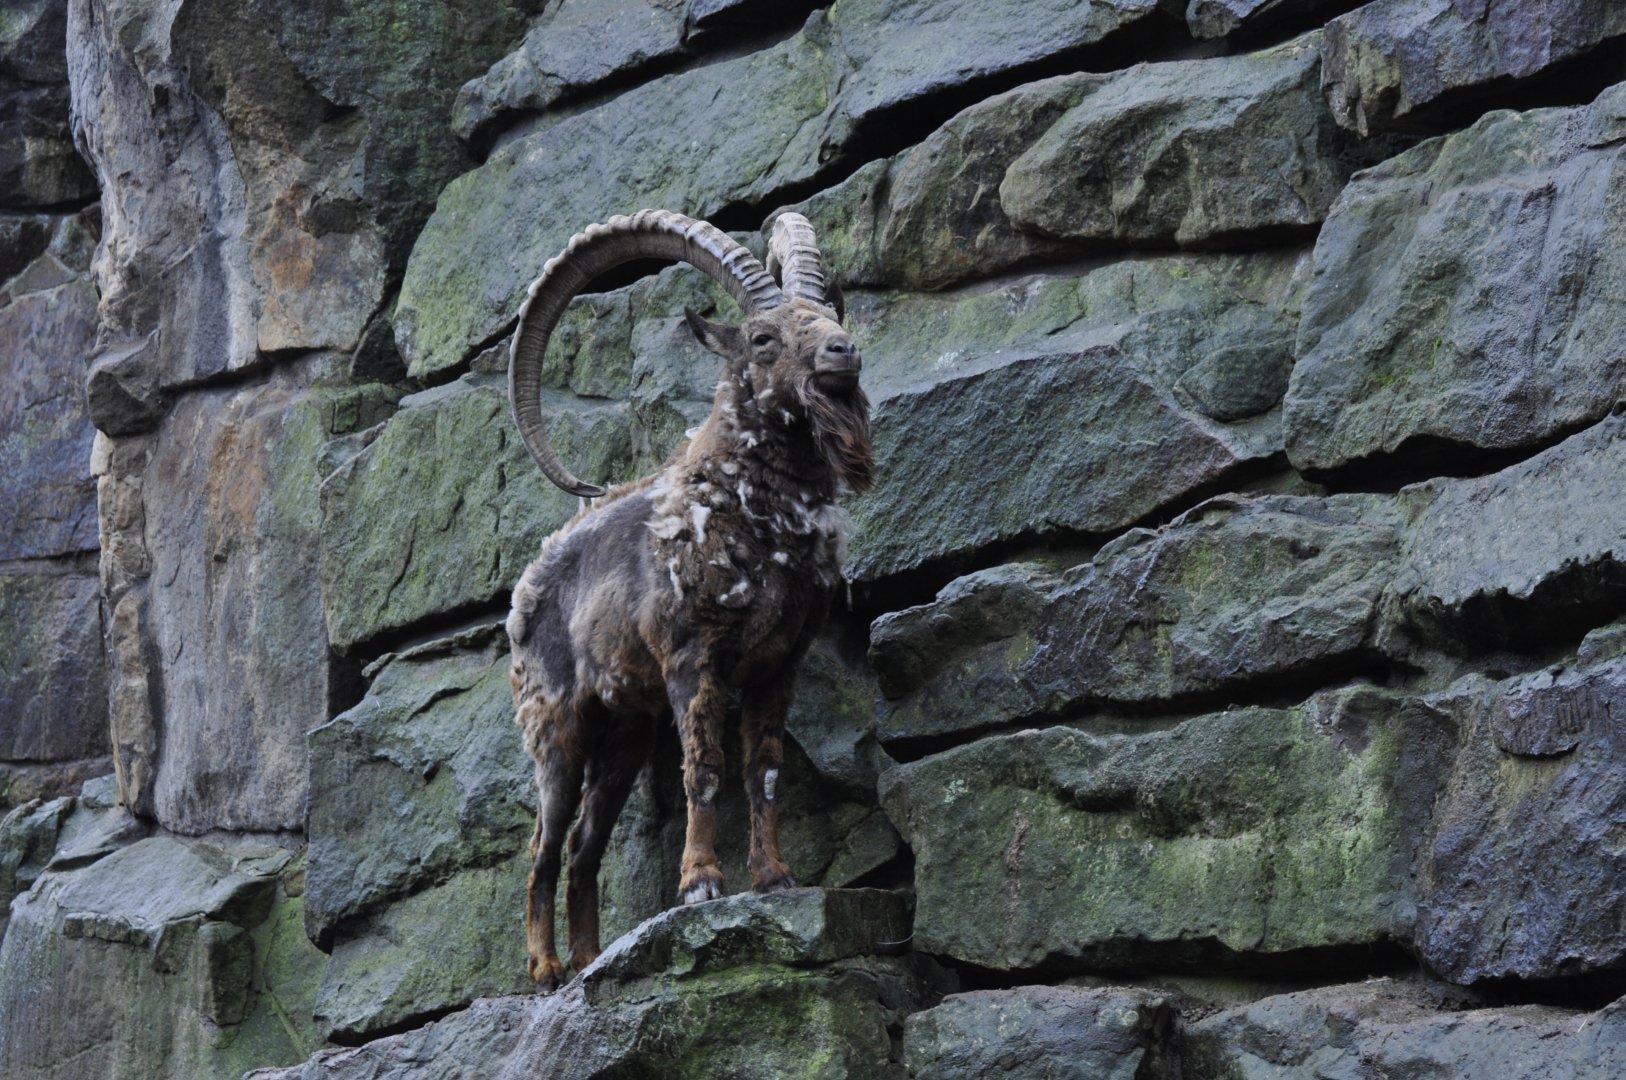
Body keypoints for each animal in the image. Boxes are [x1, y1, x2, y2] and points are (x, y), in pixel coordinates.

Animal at [505, 209, 873, 990]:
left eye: (829, 314)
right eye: (763, 337)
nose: (843, 353)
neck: (756, 518)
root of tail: (524, 589)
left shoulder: (777, 667)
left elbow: (763, 772)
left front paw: (774, 878)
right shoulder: (692, 657)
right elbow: (704, 769)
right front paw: (701, 885)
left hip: (624, 733)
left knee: (584, 846)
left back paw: (590, 960)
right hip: (557, 723)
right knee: (545, 842)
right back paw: (545, 969)